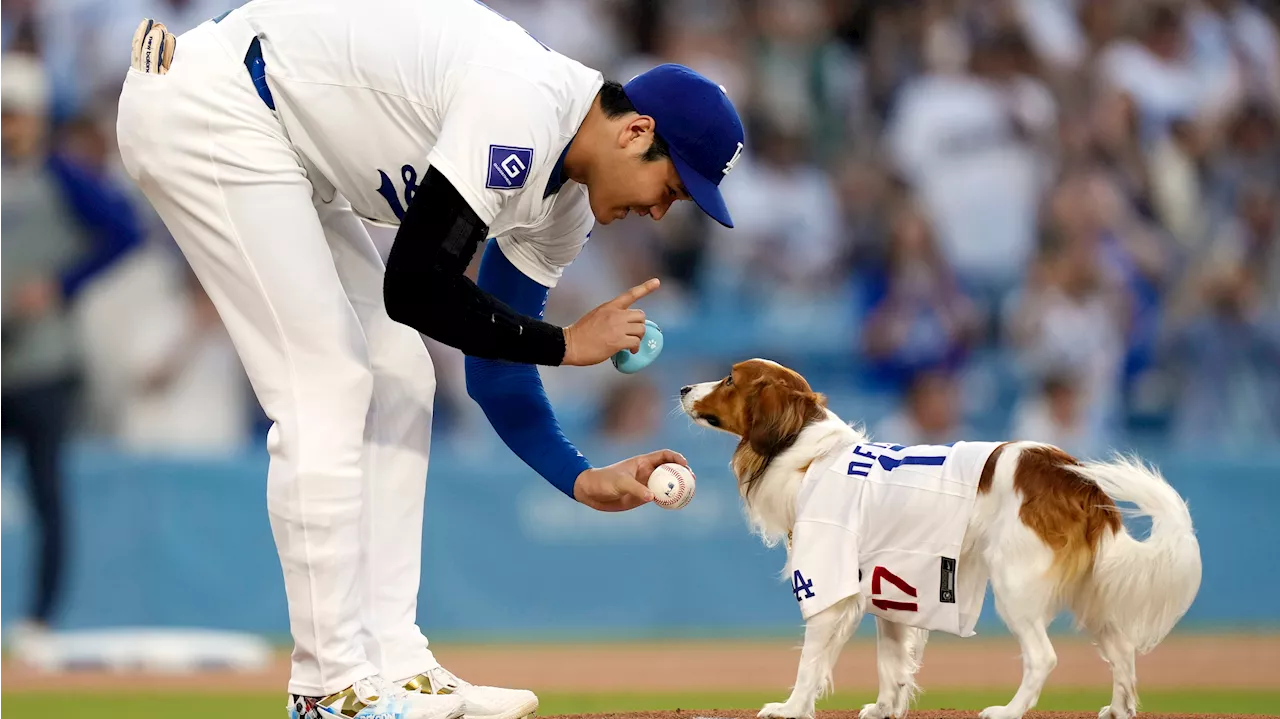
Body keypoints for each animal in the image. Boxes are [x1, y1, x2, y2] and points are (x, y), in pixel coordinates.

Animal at [680, 360, 1198, 716]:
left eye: (729, 379)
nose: (684, 387)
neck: (810, 454)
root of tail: (1069, 473)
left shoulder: (826, 585)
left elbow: (810, 662)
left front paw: (790, 708)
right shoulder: (888, 585)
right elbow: (891, 662)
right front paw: (885, 708)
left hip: (1015, 588)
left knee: (1043, 658)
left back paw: (1009, 711)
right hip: (1091, 595)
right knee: (1122, 652)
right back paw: (1120, 709)